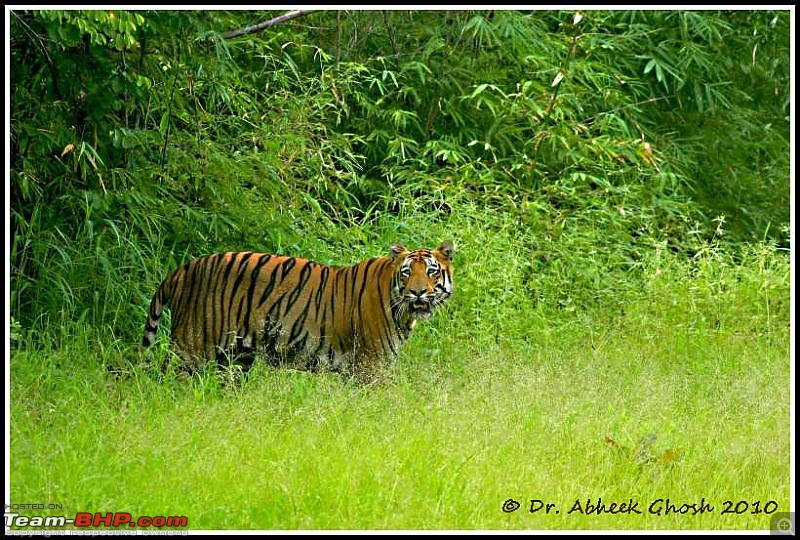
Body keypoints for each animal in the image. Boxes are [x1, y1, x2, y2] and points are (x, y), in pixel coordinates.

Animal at [142, 240, 456, 380]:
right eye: (407, 273)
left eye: (431, 271)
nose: (417, 292)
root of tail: (185, 268)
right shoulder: (369, 365)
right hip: (192, 347)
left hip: (236, 356)